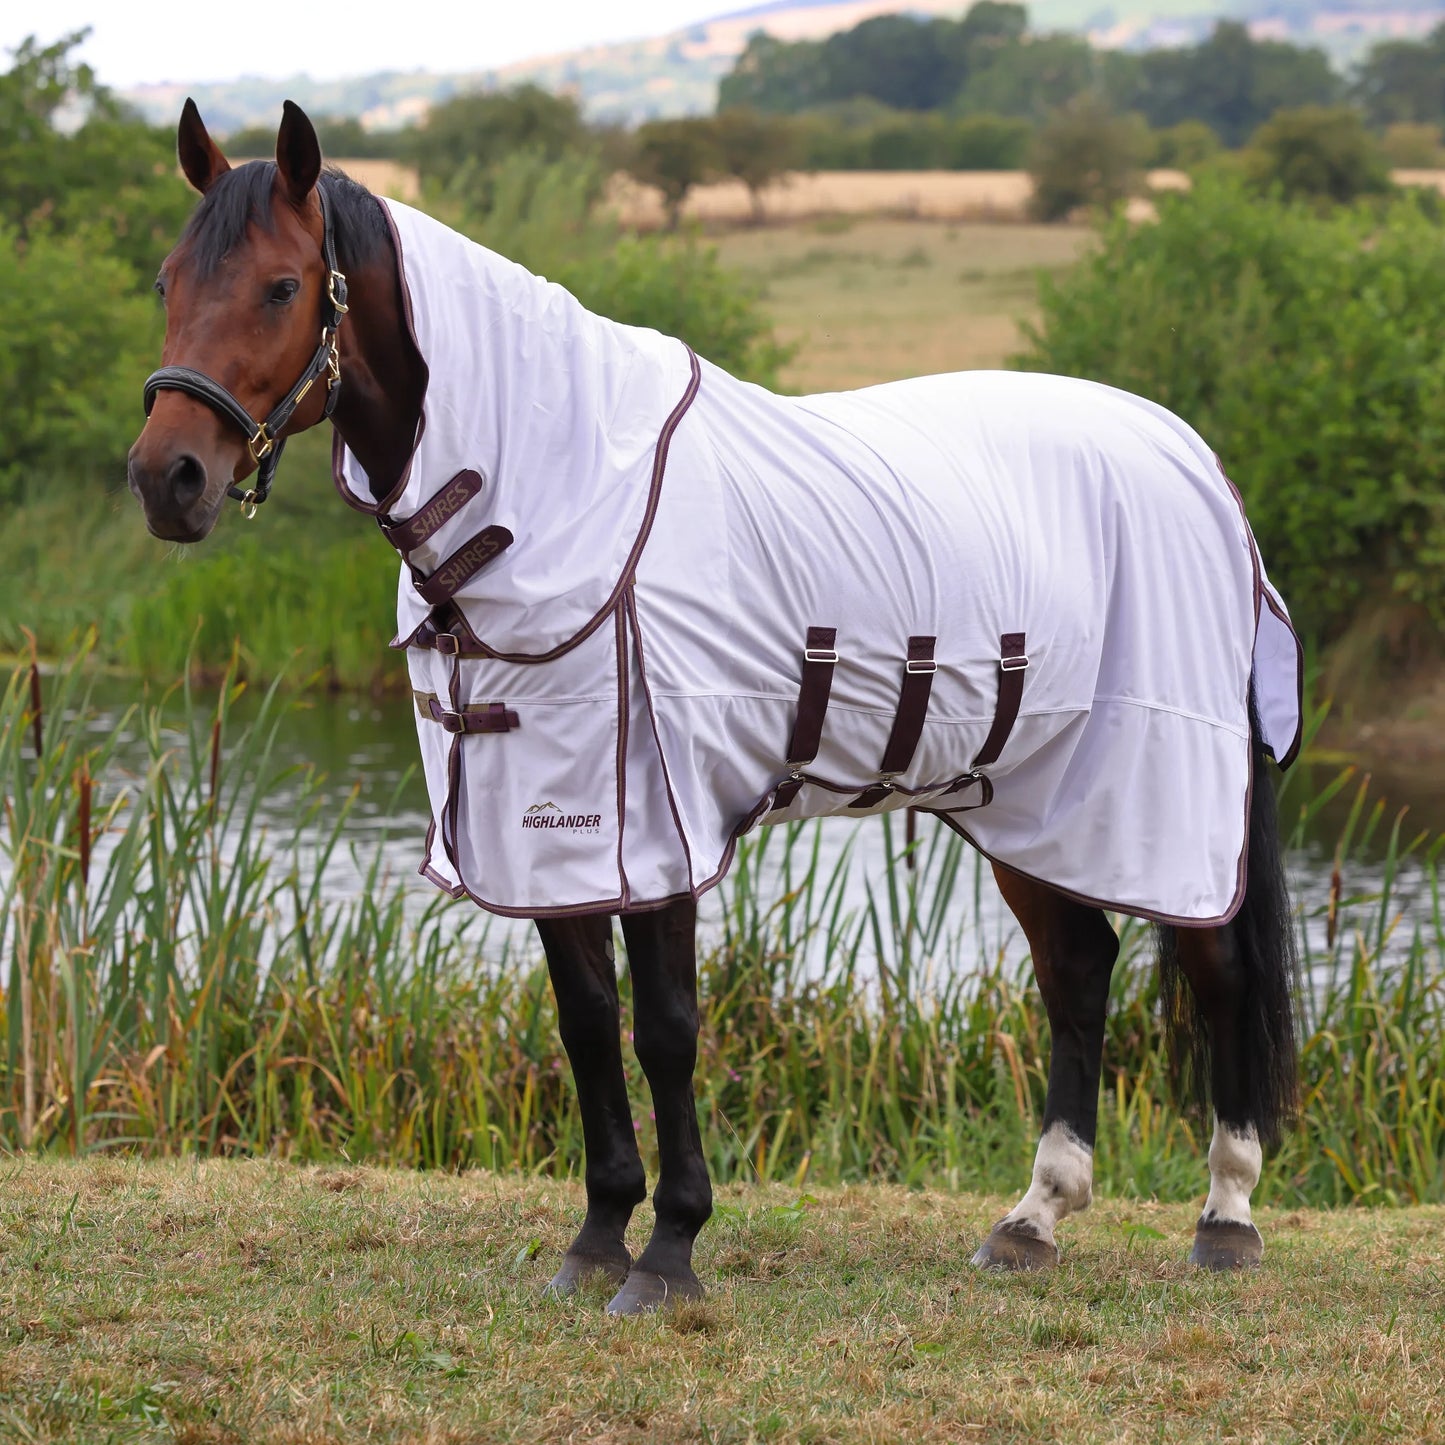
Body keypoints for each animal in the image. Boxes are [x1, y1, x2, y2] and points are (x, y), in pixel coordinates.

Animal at [127, 100, 1302, 1315]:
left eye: (278, 285)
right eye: (166, 279)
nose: (168, 478)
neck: (549, 486)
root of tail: (1196, 462)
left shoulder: (658, 819)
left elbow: (666, 1030)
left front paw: (669, 1248)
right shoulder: (547, 829)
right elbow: (586, 1024)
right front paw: (597, 1234)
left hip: (1165, 796)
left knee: (1217, 973)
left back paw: (1225, 1213)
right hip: (1029, 800)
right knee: (1077, 971)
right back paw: (1033, 1216)